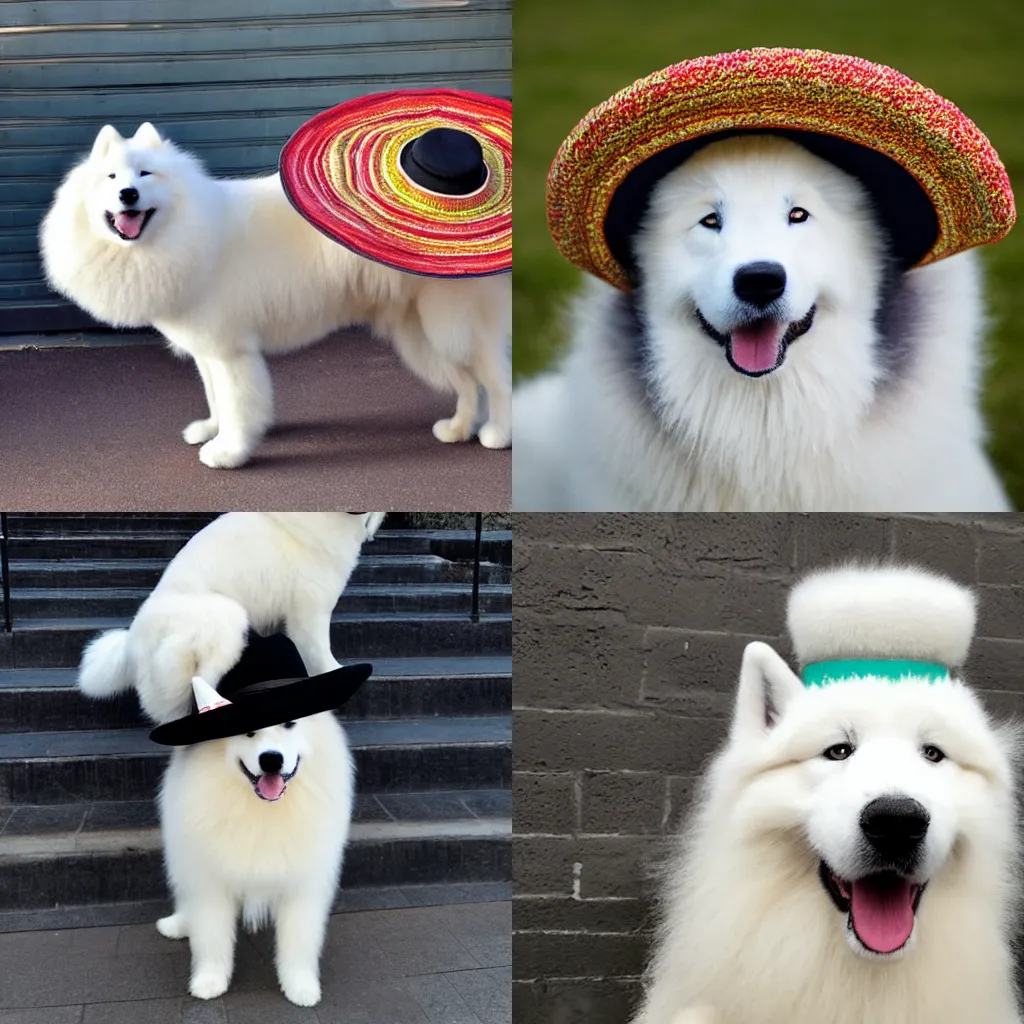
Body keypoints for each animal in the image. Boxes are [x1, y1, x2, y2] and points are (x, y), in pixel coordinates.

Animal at [39, 120, 512, 468]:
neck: (186, 227)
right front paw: (211, 430)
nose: (128, 194)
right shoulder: (207, 349)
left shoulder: (231, 351)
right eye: (111, 177)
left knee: (495, 380)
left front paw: (228, 452)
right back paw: (458, 430)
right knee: (469, 385)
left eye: (145, 174)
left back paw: (498, 435)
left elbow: (236, 403)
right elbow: (214, 396)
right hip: (425, 336)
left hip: (450, 328)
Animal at [155, 700, 354, 1003]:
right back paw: (178, 925)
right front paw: (209, 982)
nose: (271, 759)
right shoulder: (210, 883)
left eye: (290, 723)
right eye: (246, 730)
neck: (263, 808)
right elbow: (212, 938)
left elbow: (299, 941)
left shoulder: (303, 884)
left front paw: (300, 987)